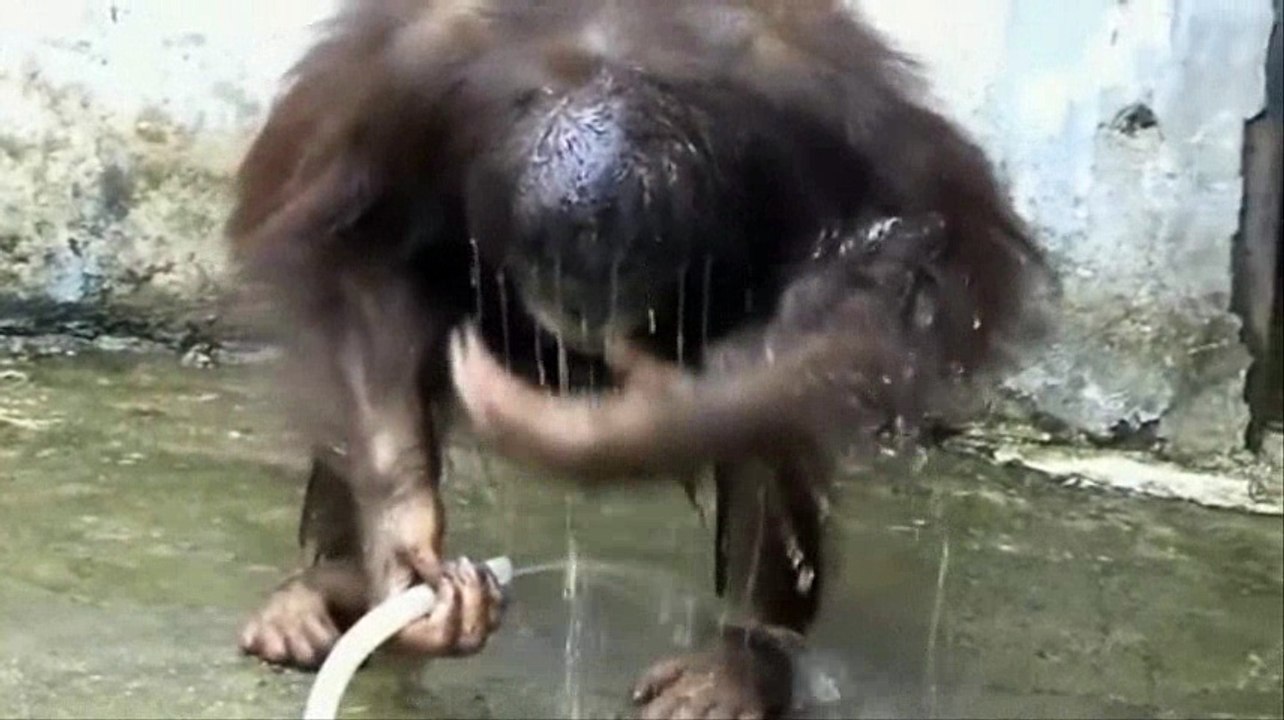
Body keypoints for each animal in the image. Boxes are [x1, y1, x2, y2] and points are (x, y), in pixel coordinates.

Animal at [224, 2, 1051, 718]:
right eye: (557, 267)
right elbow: (349, 247)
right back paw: (328, 589)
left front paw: (606, 431)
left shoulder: (826, 103)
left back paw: (743, 663)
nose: (585, 312)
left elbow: (926, 256)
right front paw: (406, 550)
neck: (605, 61)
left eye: (633, 270)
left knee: (782, 395)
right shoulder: (408, 79)